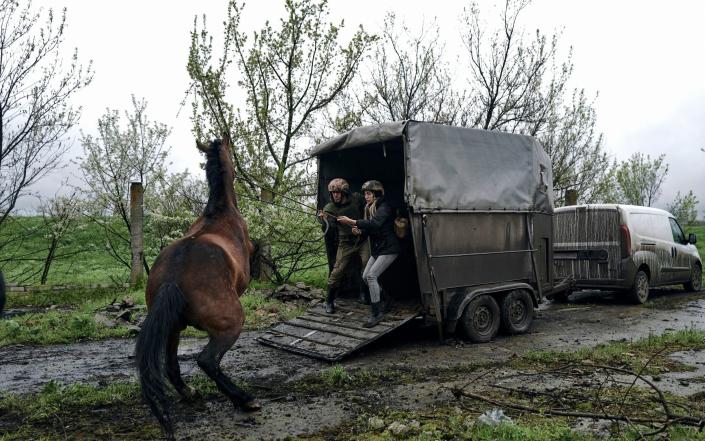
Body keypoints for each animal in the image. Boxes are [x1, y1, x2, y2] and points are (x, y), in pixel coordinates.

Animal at [135, 136, 258, 438]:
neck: (220, 212)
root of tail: (173, 276)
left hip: (172, 329)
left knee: (171, 366)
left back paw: (190, 393)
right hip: (230, 325)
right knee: (207, 361)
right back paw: (244, 399)